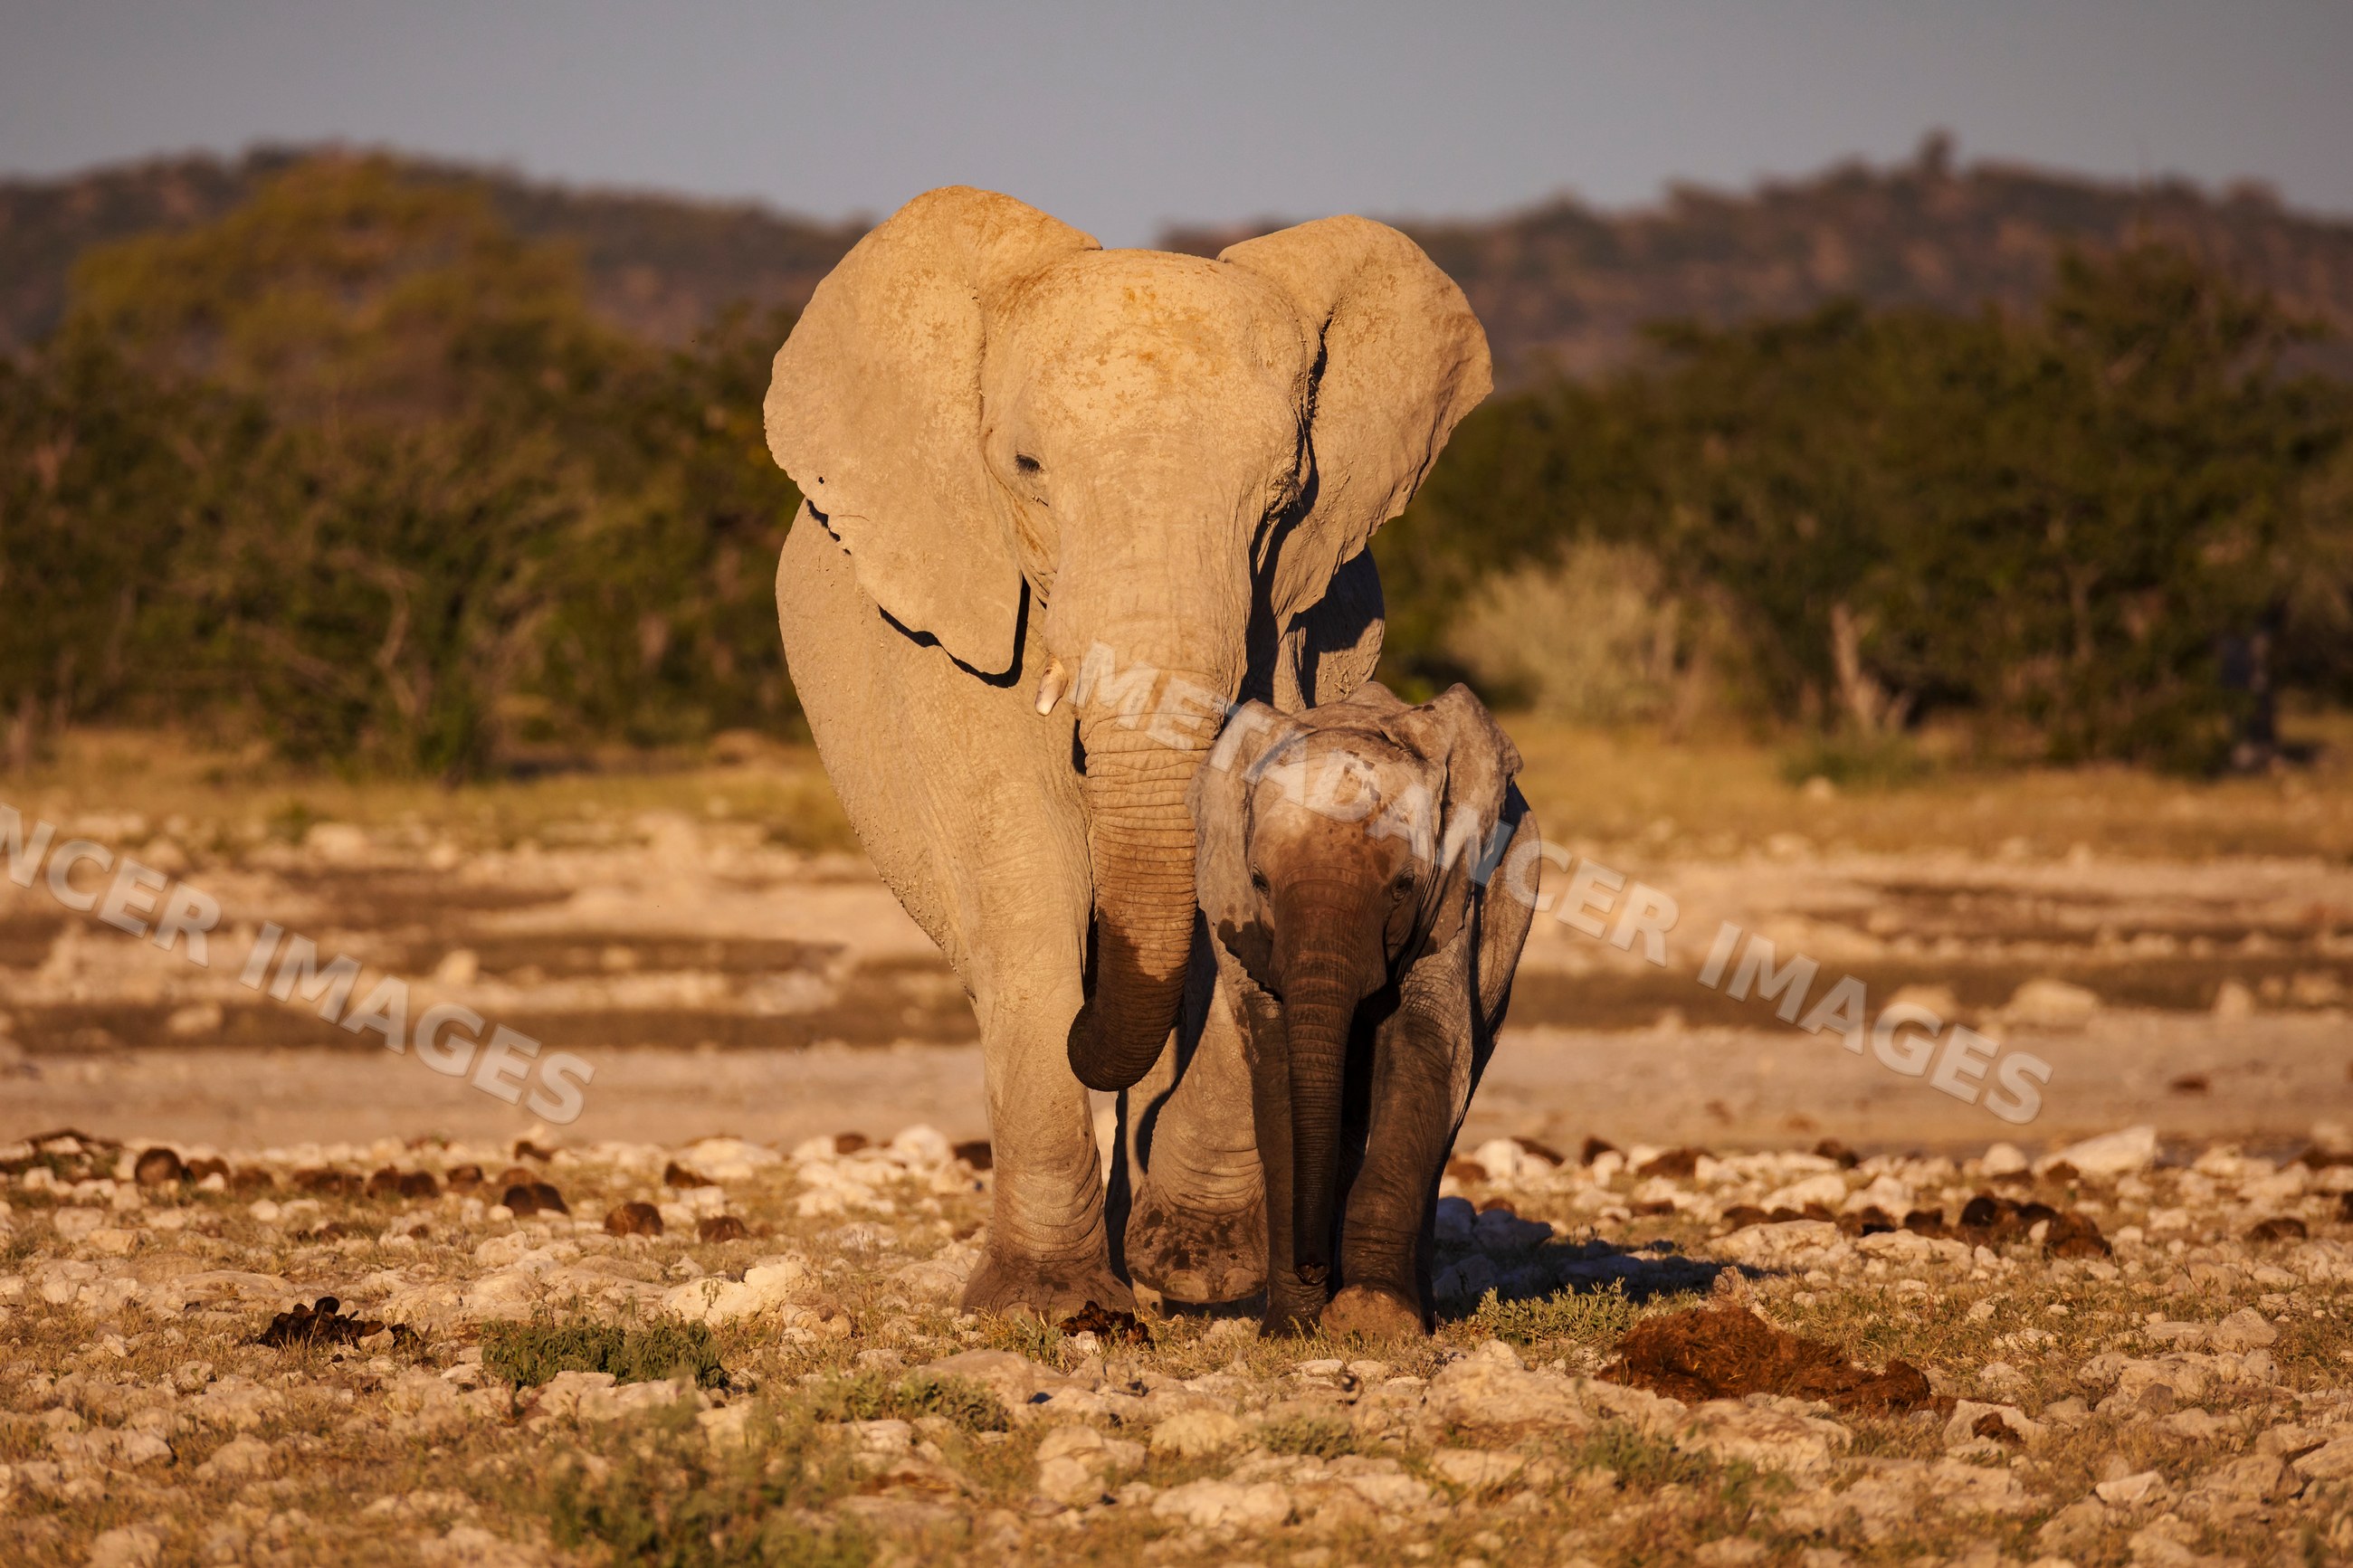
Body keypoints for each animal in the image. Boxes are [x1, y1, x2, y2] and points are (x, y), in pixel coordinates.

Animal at [763, 187, 1491, 1316]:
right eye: (1026, 473)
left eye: (1282, 499)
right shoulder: (959, 625)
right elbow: (1021, 870)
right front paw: (1041, 1302)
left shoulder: (1293, 621)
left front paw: (1194, 1264)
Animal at [1188, 682, 1536, 1336]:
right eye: (1260, 881)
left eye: (1403, 886)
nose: (1313, 1266)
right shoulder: (1236, 919)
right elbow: (1277, 1071)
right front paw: (1292, 1325)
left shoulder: (1454, 902)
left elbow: (1426, 1049)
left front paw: (1373, 1316)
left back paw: (1418, 1311)